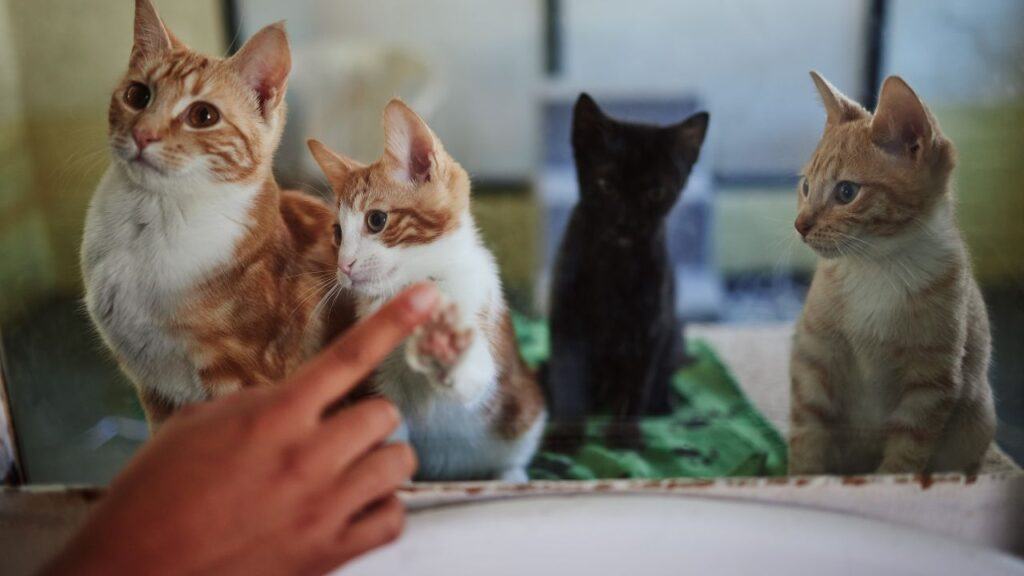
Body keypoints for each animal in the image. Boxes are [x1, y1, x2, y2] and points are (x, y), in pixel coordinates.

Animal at [80, 0, 352, 428]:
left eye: (202, 116)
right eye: (138, 95)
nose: (143, 134)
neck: (152, 216)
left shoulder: (241, 382)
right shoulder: (152, 389)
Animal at [305, 100, 548, 481]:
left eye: (377, 220)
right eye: (337, 234)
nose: (344, 265)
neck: (406, 290)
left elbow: (476, 381)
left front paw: (447, 347)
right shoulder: (379, 381)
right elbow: (388, 427)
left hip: (524, 410)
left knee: (512, 456)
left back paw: (509, 476)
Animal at [548, 93, 708, 448]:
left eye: (655, 192)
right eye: (606, 184)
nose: (626, 219)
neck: (615, 261)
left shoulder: (650, 325)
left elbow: (637, 383)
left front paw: (624, 434)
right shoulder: (567, 319)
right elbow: (567, 377)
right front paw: (566, 432)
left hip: (674, 333)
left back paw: (664, 402)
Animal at [786, 71, 995, 473]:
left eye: (846, 192)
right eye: (805, 186)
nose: (800, 225)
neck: (876, 267)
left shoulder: (930, 384)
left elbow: (905, 457)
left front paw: (887, 482)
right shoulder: (814, 357)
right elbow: (807, 436)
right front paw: (804, 478)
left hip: (976, 422)